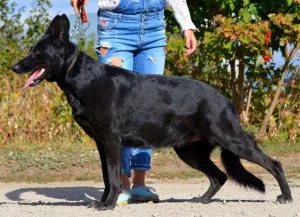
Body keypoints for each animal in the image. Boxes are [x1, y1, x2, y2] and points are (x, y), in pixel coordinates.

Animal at [11, 14, 290, 209]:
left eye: (37, 53)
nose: (14, 67)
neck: (80, 77)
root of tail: (225, 100)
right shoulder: (102, 144)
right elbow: (106, 177)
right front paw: (105, 201)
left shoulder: (111, 141)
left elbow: (113, 177)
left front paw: (108, 204)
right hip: (189, 152)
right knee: (219, 176)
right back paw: (202, 200)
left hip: (233, 141)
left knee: (273, 164)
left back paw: (285, 196)